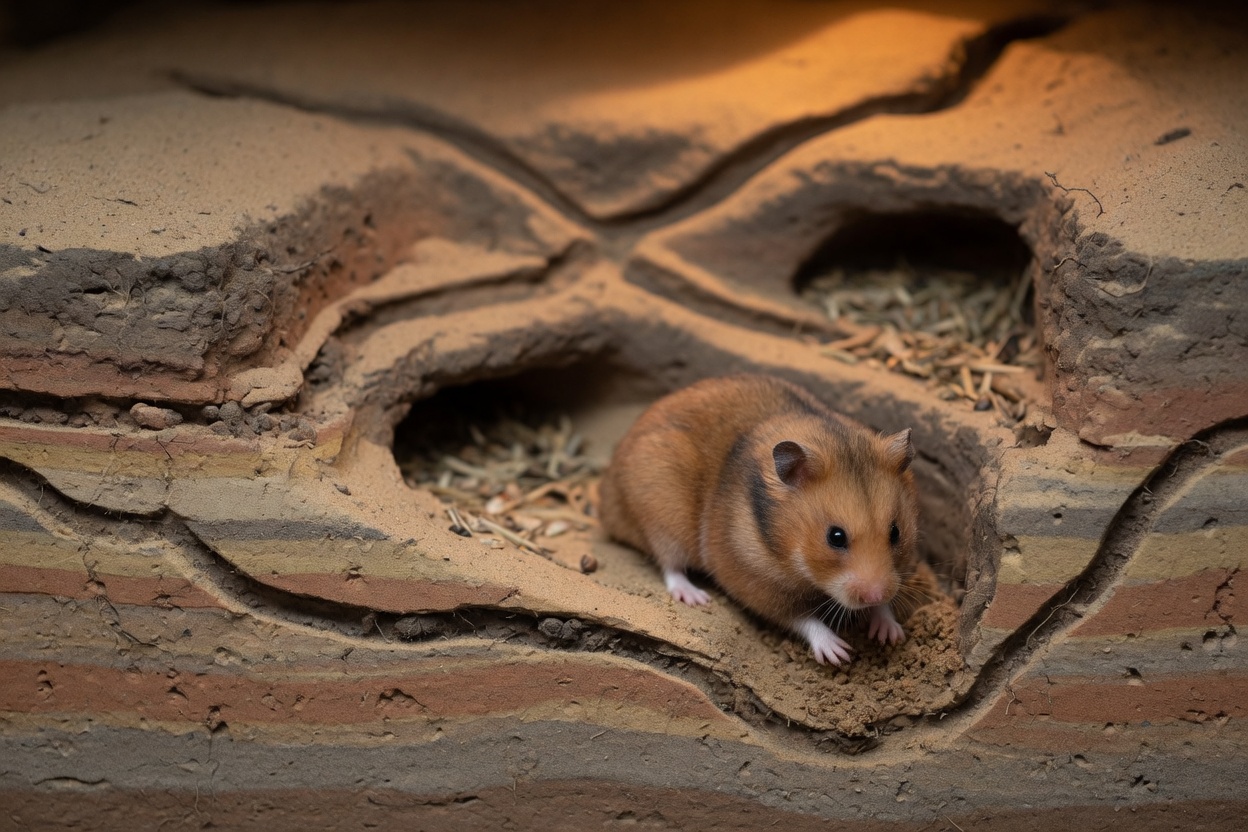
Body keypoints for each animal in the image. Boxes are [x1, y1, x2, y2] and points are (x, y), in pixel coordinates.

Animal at [598, 373, 919, 666]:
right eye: (835, 537)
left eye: (895, 532)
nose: (875, 594)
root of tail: (607, 494)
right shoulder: (757, 585)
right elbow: (801, 619)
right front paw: (839, 653)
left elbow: (884, 607)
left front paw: (891, 634)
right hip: (663, 519)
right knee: (670, 566)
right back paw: (696, 597)